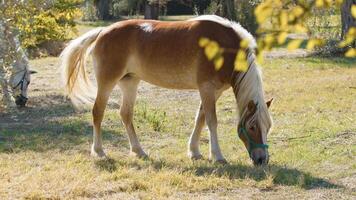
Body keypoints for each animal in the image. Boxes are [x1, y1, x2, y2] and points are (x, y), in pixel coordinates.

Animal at [60, 14, 272, 166]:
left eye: (268, 127)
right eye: (252, 127)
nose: (262, 159)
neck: (225, 47)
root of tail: (103, 31)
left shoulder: (214, 91)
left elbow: (200, 118)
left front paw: (194, 152)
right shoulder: (207, 88)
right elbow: (212, 121)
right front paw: (218, 156)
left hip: (130, 83)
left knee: (126, 114)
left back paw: (138, 150)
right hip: (107, 82)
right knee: (98, 112)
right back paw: (99, 151)